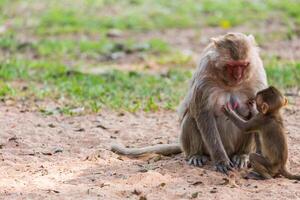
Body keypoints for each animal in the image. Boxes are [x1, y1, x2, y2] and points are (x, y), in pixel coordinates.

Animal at [112, 32, 268, 173]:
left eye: (244, 65)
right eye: (231, 65)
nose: (238, 76)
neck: (230, 85)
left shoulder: (257, 74)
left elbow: (260, 113)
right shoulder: (205, 76)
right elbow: (203, 113)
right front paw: (221, 160)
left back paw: (242, 155)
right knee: (191, 118)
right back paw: (196, 155)